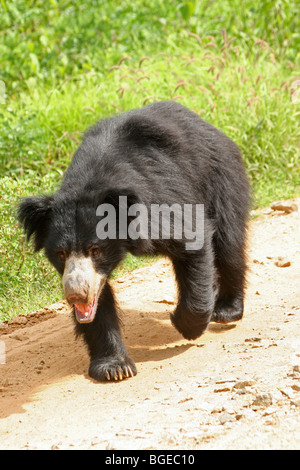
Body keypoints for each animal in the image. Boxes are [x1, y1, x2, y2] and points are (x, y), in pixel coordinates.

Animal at [17, 102, 250, 382]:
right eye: (60, 253)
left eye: (95, 249)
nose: (75, 294)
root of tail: (209, 126)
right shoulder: (90, 275)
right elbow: (99, 301)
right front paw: (114, 367)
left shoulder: (161, 203)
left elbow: (191, 238)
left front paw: (185, 324)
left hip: (220, 178)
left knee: (229, 244)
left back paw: (227, 310)